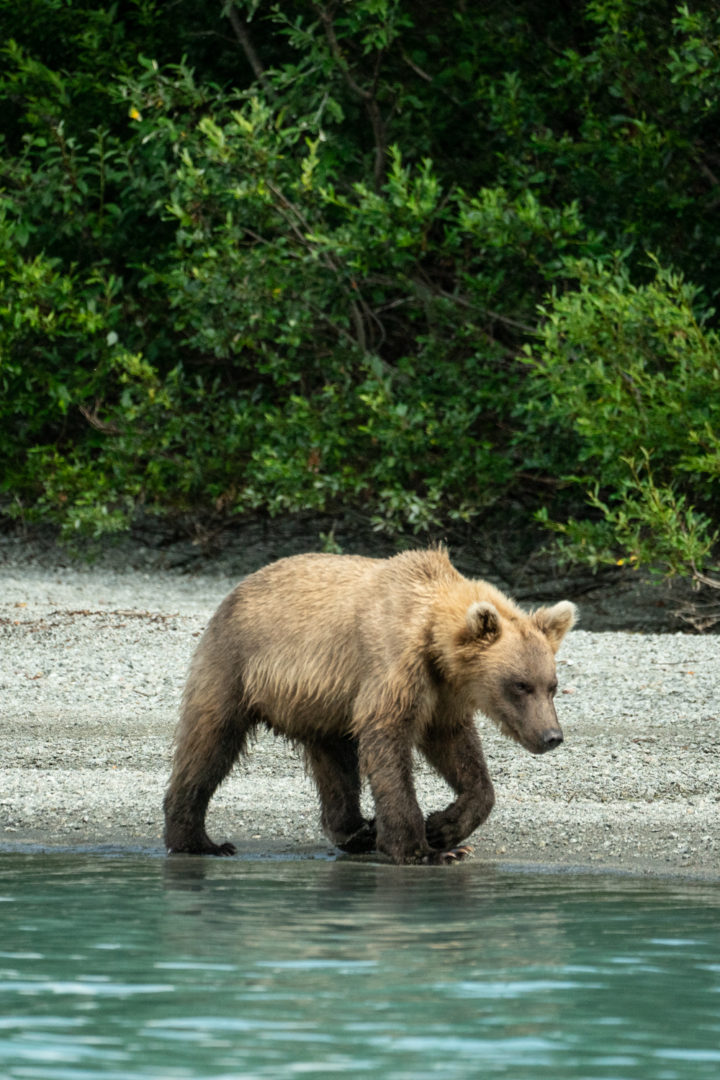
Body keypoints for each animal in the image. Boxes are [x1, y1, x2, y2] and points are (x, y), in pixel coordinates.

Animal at [163, 547, 577, 865]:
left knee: (336, 766)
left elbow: (459, 752)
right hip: (234, 664)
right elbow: (388, 744)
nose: (551, 735)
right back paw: (199, 841)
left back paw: (357, 831)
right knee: (209, 743)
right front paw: (425, 849)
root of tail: (237, 588)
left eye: (552, 686)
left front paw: (444, 828)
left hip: (321, 704)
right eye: (520, 685)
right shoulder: (395, 665)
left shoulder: (444, 693)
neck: (433, 638)